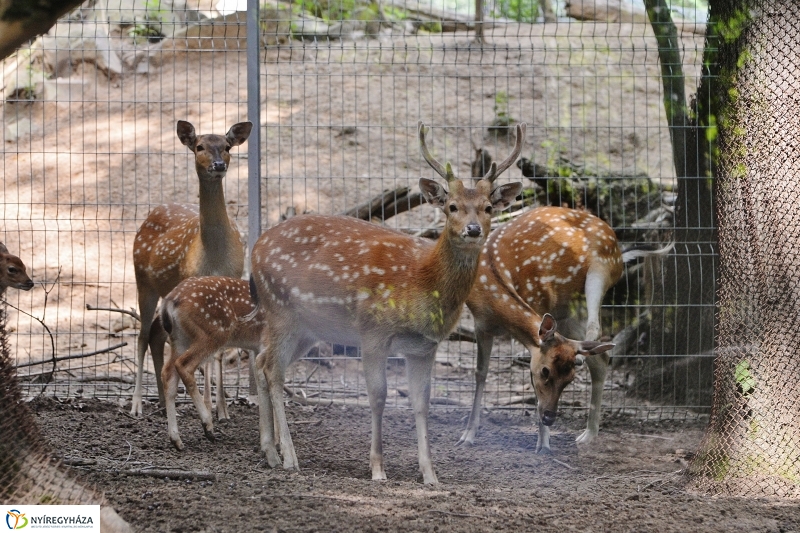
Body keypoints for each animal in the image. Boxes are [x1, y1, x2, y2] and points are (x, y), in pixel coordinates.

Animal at [247, 122, 524, 484]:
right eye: (451, 206)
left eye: (488, 207)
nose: (474, 229)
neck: (421, 281)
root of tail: (254, 250)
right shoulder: (373, 332)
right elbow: (378, 397)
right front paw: (378, 468)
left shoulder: (424, 347)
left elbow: (421, 403)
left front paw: (430, 474)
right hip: (280, 310)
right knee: (273, 370)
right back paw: (290, 457)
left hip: (307, 329)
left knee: (261, 362)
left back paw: (270, 451)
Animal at [460, 206, 672, 450]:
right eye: (545, 371)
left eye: (570, 379)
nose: (550, 416)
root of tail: (620, 249)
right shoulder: (481, 325)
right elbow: (480, 374)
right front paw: (467, 435)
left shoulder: (541, 301)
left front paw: (543, 445)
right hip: (566, 313)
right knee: (601, 356)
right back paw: (588, 433)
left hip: (600, 272)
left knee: (595, 329)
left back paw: (587, 428)